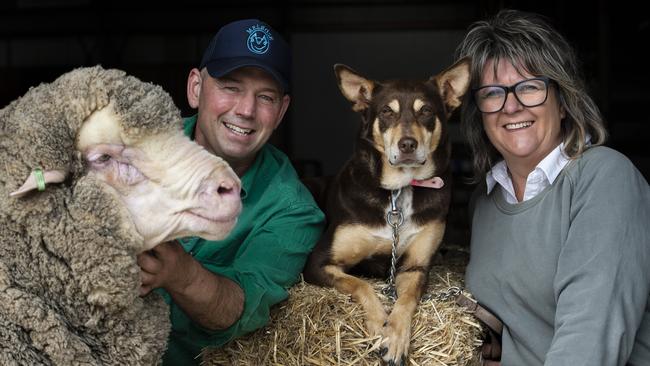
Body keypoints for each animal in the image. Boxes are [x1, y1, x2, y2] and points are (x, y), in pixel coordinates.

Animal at [302, 58, 468, 364]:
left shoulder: (415, 267)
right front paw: (380, 325)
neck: (399, 190)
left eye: (426, 111)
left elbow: (406, 300)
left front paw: (395, 336)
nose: (407, 144)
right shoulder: (318, 263)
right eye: (386, 112)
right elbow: (360, 284)